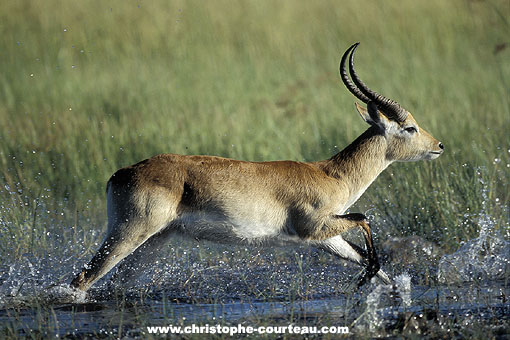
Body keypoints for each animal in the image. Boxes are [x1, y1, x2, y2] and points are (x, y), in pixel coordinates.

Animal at [70, 43, 442, 292]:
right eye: (410, 127)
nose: (439, 146)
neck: (330, 174)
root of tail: (120, 174)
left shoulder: (324, 237)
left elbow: (373, 264)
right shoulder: (314, 226)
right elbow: (364, 220)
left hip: (153, 241)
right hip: (129, 232)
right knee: (81, 280)